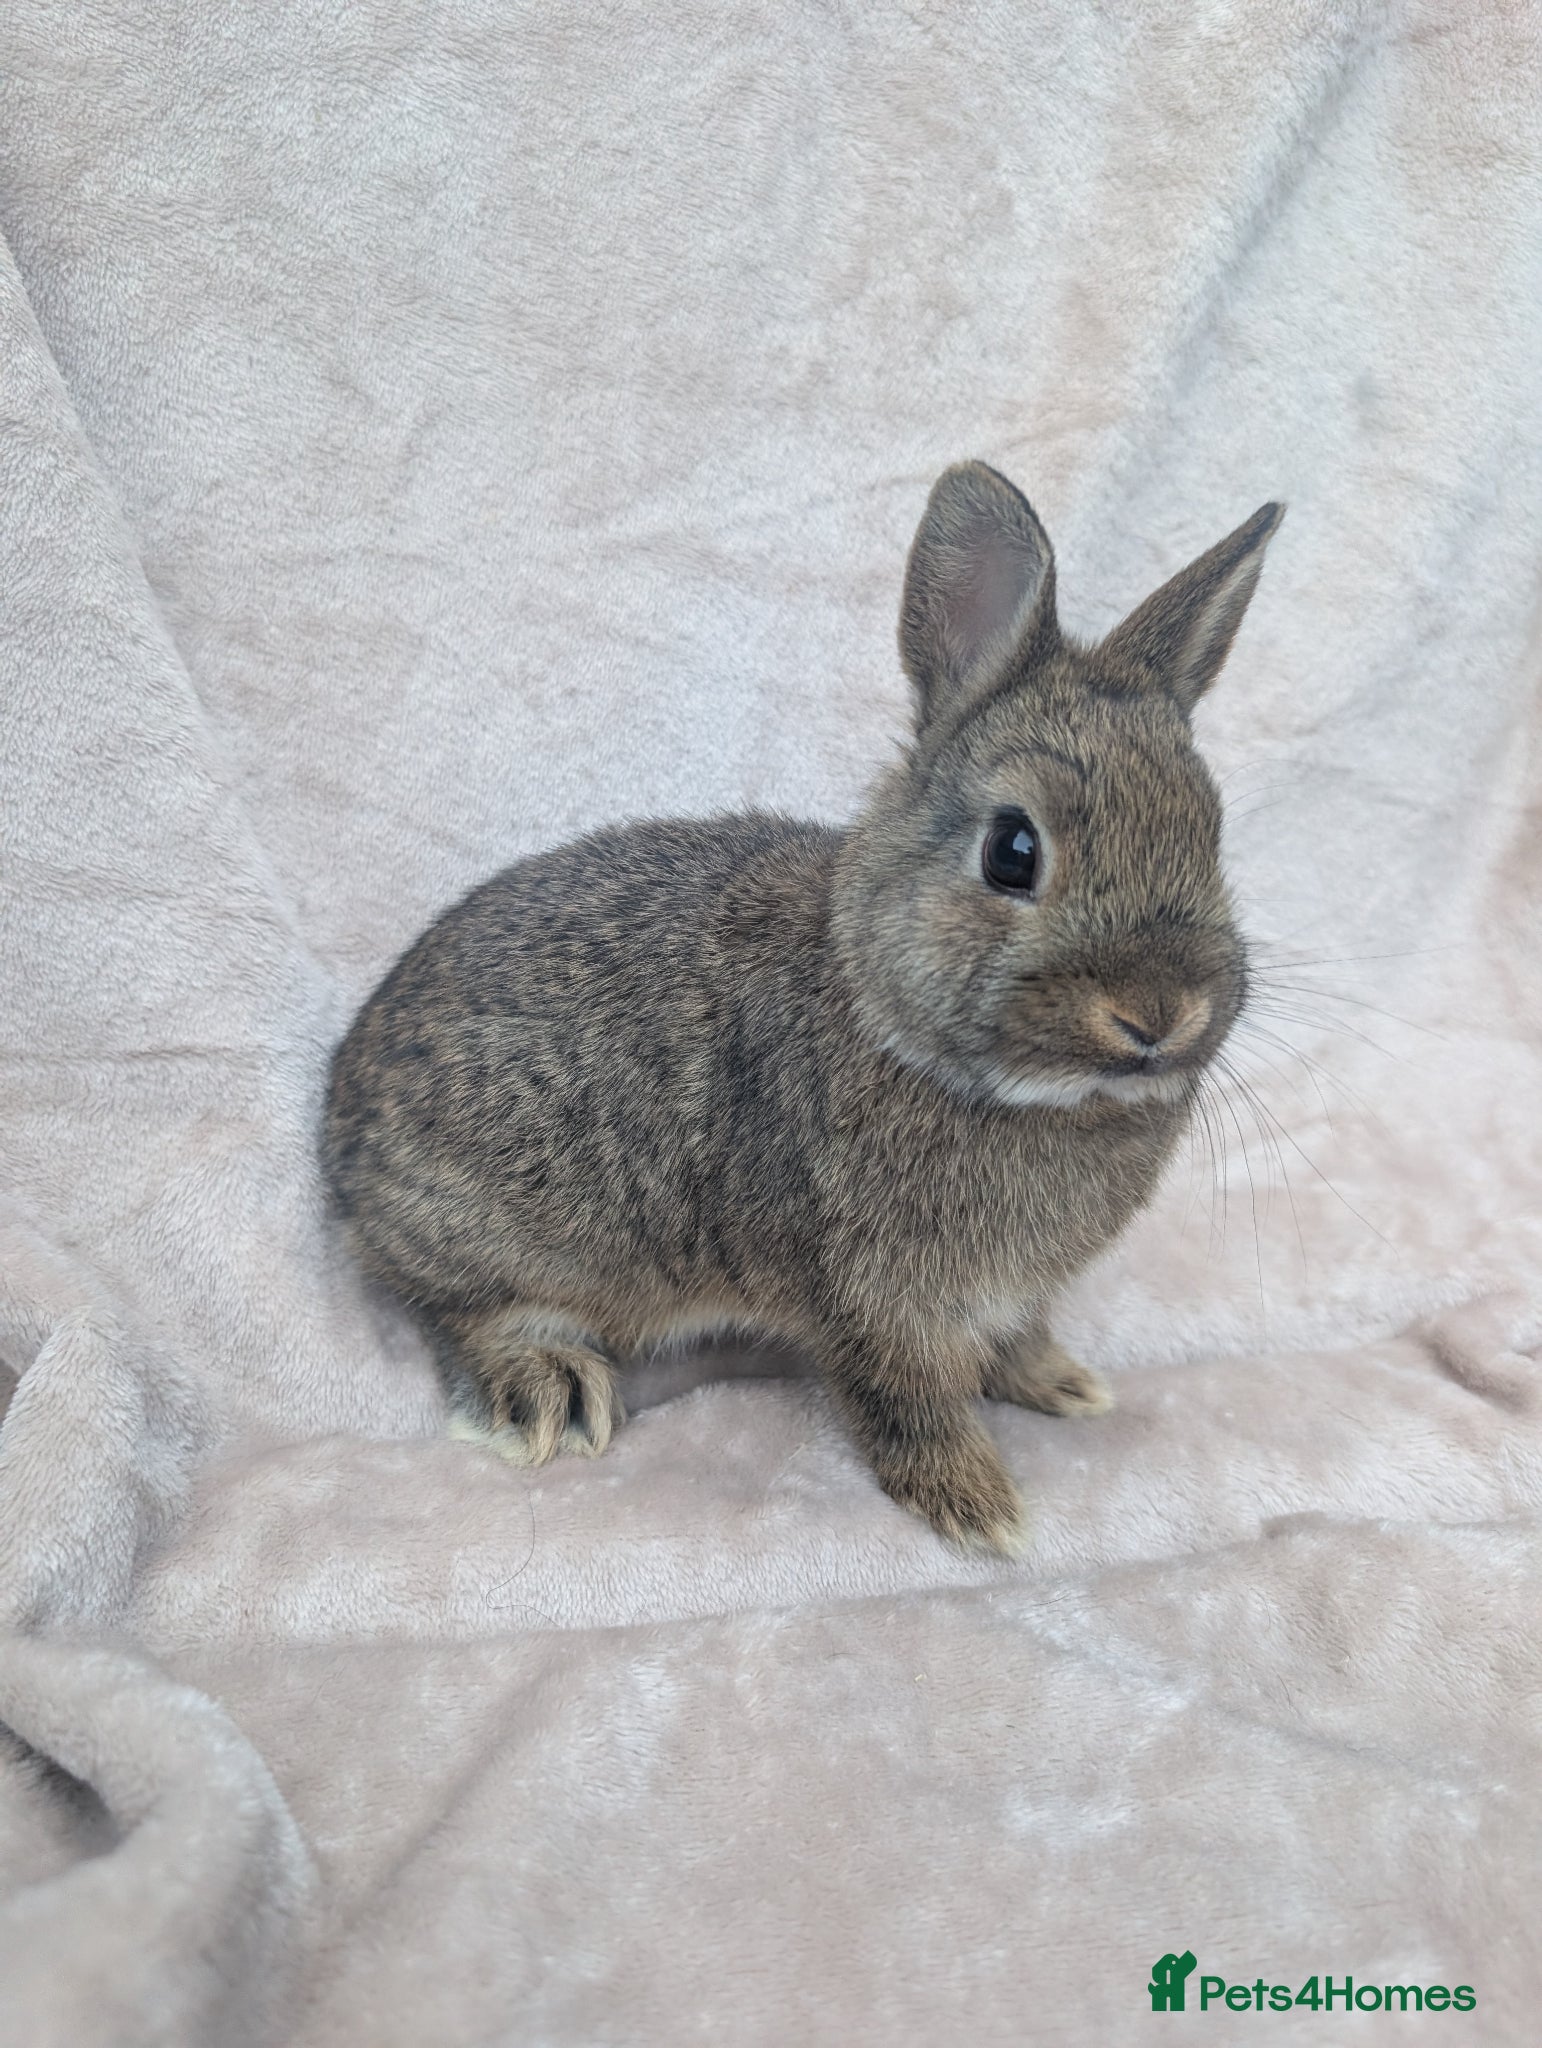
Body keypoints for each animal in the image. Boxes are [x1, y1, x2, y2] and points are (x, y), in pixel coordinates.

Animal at [323, 462, 1281, 1553]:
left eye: (1211, 834)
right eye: (1013, 850)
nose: (1160, 1013)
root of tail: (338, 1138)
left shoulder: (1002, 1295)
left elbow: (1016, 1337)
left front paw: (1063, 1386)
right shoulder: (865, 1295)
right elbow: (904, 1399)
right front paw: (978, 1506)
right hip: (516, 1231)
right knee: (459, 1309)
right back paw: (549, 1387)